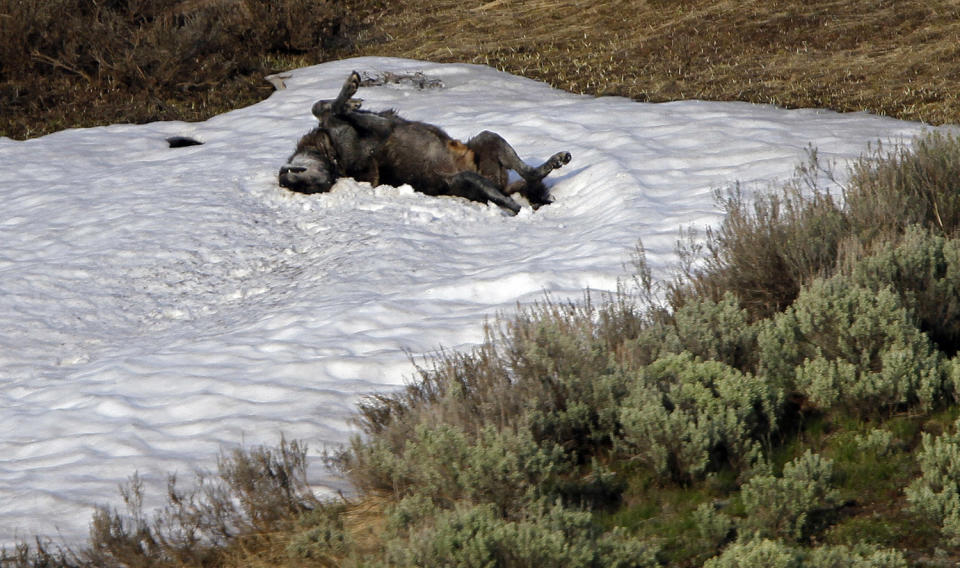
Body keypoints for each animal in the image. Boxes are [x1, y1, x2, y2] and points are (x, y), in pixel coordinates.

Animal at [278, 71, 568, 213]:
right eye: (310, 187)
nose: (327, 179)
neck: (329, 151)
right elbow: (332, 107)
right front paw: (348, 95)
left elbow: (322, 106)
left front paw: (350, 98)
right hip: (467, 180)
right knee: (512, 198)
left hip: (489, 139)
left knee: (530, 172)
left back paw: (556, 161)